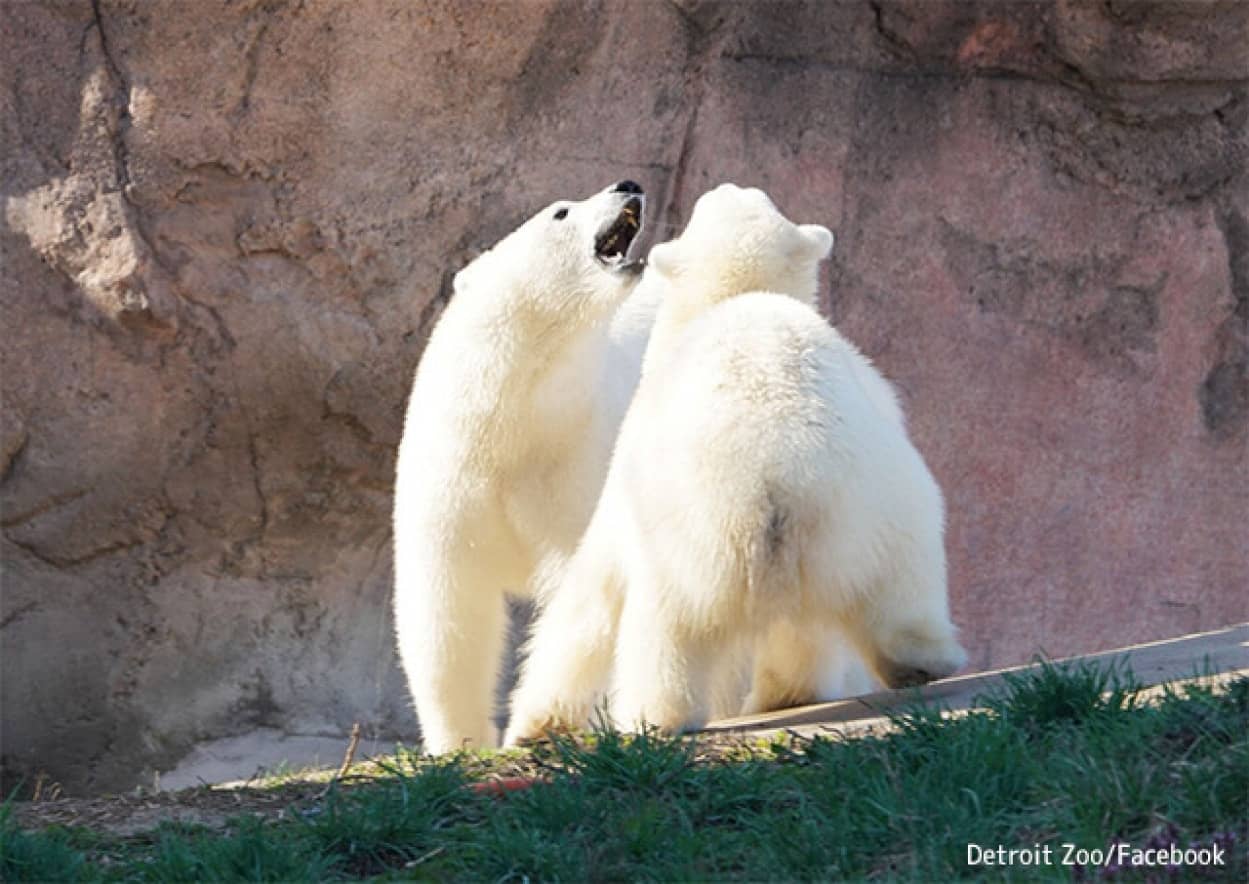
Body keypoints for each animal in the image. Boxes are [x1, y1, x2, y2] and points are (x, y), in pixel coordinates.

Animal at [392, 179, 654, 754]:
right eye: (560, 212)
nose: (630, 185)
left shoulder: (575, 460)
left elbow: (582, 594)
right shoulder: (449, 478)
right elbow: (448, 608)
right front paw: (457, 743)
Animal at [507, 181, 964, 739]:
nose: (725, 183)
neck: (739, 297)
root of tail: (777, 476)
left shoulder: (630, 461)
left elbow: (590, 595)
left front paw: (534, 722)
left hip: (685, 534)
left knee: (668, 626)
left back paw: (653, 714)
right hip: (878, 510)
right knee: (888, 591)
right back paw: (912, 663)